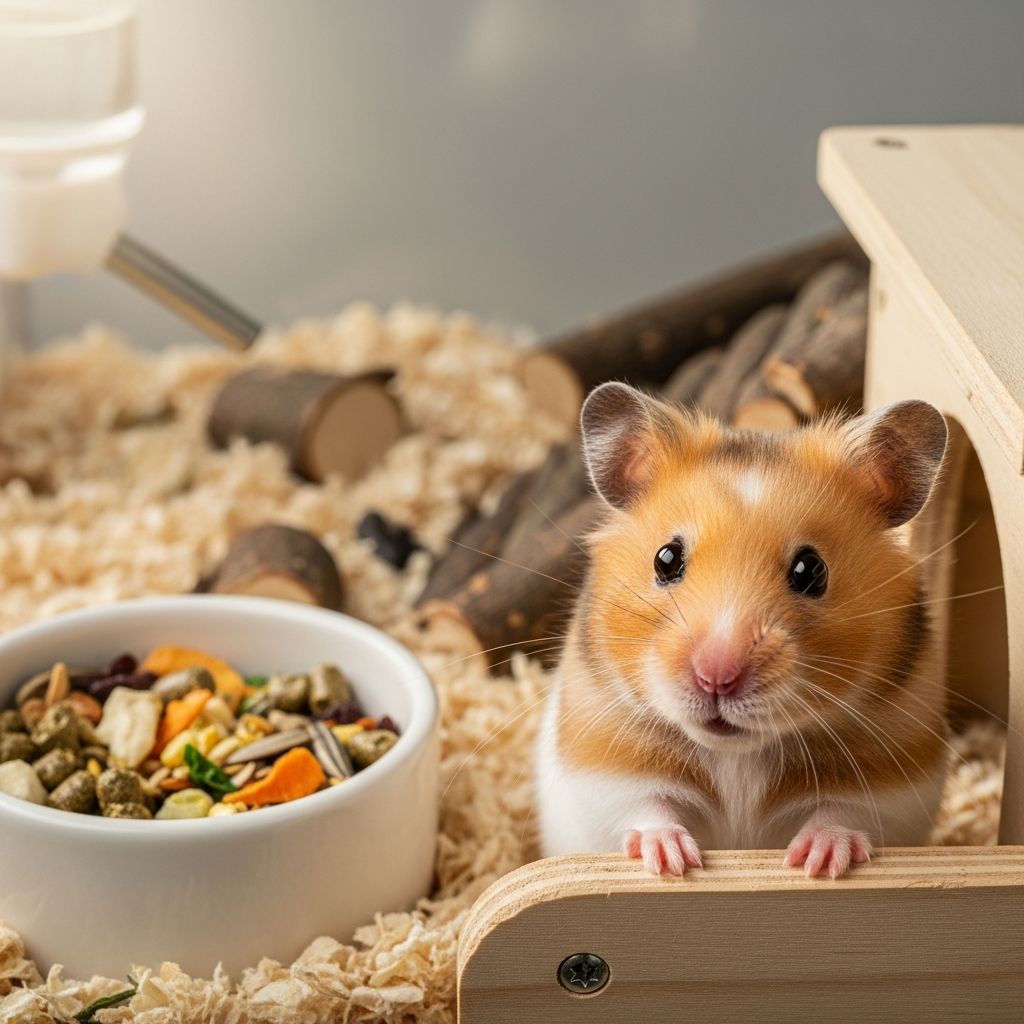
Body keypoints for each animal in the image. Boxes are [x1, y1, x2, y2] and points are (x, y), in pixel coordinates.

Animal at [536, 382, 949, 879]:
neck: (737, 754)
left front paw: (817, 863)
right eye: (665, 559)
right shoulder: (607, 771)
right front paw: (674, 863)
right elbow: (647, 808)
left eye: (811, 570)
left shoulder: (893, 782)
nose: (717, 677)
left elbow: (842, 813)